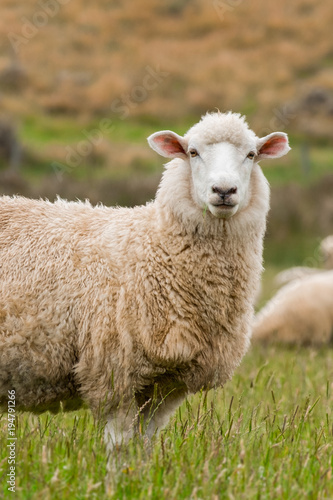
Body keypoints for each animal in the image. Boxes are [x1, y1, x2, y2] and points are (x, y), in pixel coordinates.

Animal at [0, 110, 290, 454]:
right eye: (193, 152)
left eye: (251, 155)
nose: (224, 190)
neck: (155, 245)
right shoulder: (115, 372)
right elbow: (120, 447)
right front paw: (118, 471)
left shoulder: (166, 386)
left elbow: (145, 447)